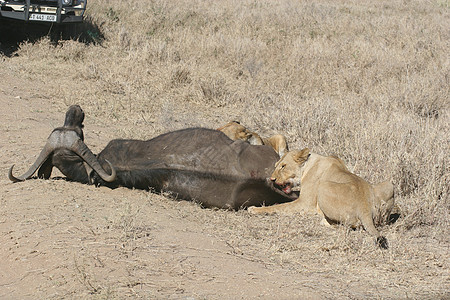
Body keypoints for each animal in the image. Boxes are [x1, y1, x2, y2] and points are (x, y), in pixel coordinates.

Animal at [248, 148, 396, 248]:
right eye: (276, 166)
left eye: (283, 166)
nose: (272, 179)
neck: (308, 165)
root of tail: (364, 205)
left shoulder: (304, 203)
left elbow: (278, 207)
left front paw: (254, 209)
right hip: (389, 185)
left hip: (323, 186)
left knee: (349, 225)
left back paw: (324, 221)